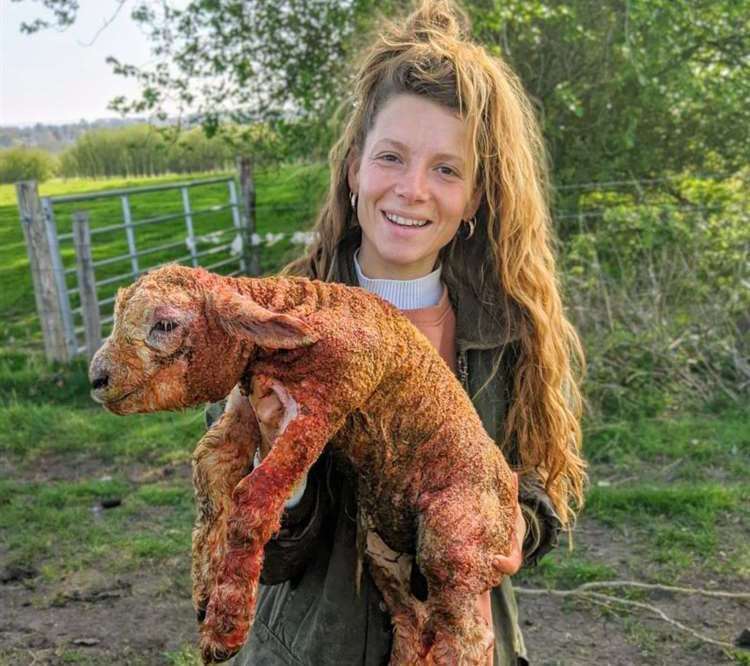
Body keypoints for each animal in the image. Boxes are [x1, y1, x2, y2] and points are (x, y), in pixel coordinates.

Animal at [89, 264, 516, 664]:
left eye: (165, 324)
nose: (97, 377)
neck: (298, 310)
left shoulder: (328, 400)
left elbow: (255, 496)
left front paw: (225, 626)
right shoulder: (244, 409)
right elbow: (210, 478)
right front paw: (205, 592)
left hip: (458, 532)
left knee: (468, 634)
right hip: (384, 552)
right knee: (412, 620)